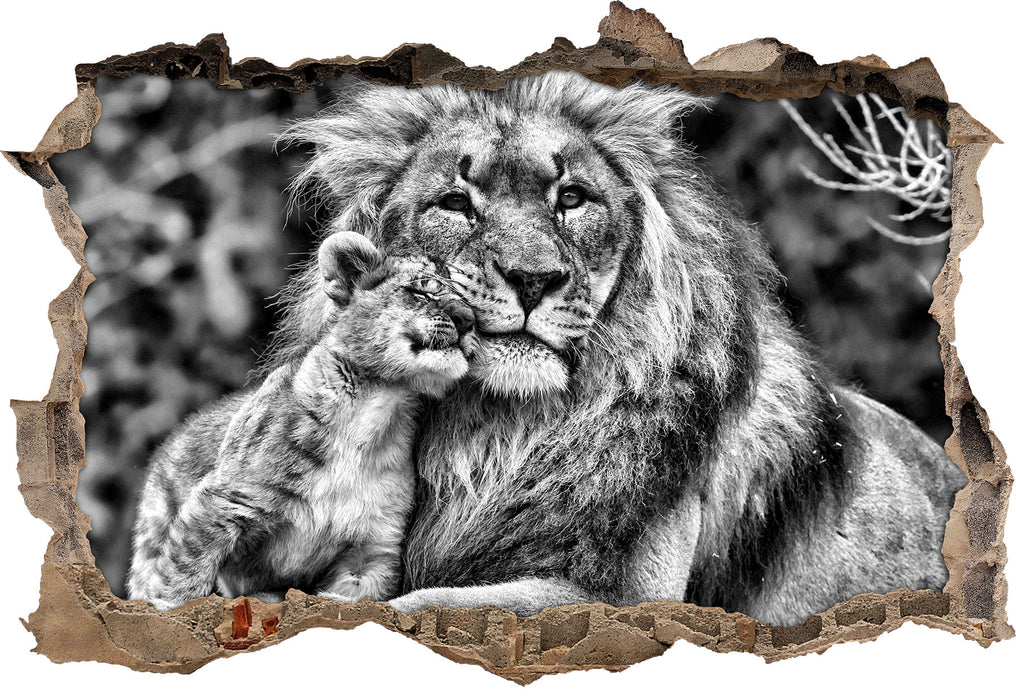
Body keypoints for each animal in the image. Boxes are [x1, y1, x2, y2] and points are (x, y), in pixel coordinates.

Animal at [127, 231, 476, 611]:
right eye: (421, 291)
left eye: (472, 307)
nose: (469, 320)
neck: (377, 412)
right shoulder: (220, 502)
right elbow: (180, 583)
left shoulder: (371, 550)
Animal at [274, 71, 967, 626]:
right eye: (455, 203)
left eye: (572, 198)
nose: (532, 279)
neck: (494, 432)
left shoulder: (629, 598)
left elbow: (419, 605)